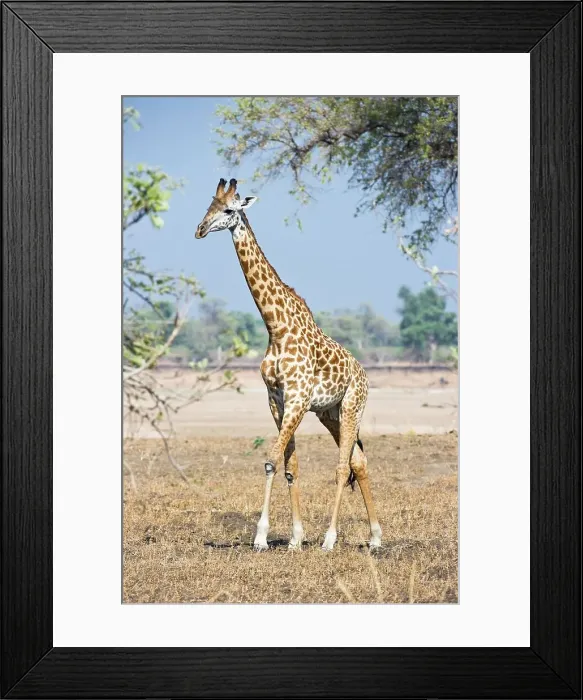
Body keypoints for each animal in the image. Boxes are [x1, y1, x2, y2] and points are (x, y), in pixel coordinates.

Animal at [195, 178, 382, 552]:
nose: (200, 229)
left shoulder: (297, 399)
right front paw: (295, 538)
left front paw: (261, 537)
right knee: (358, 461)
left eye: (229, 210)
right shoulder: (277, 400)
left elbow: (270, 460)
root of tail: (363, 373)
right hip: (330, 413)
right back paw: (375, 537)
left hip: (353, 406)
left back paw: (330, 539)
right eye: (208, 206)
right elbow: (289, 465)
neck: (276, 327)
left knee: (343, 466)